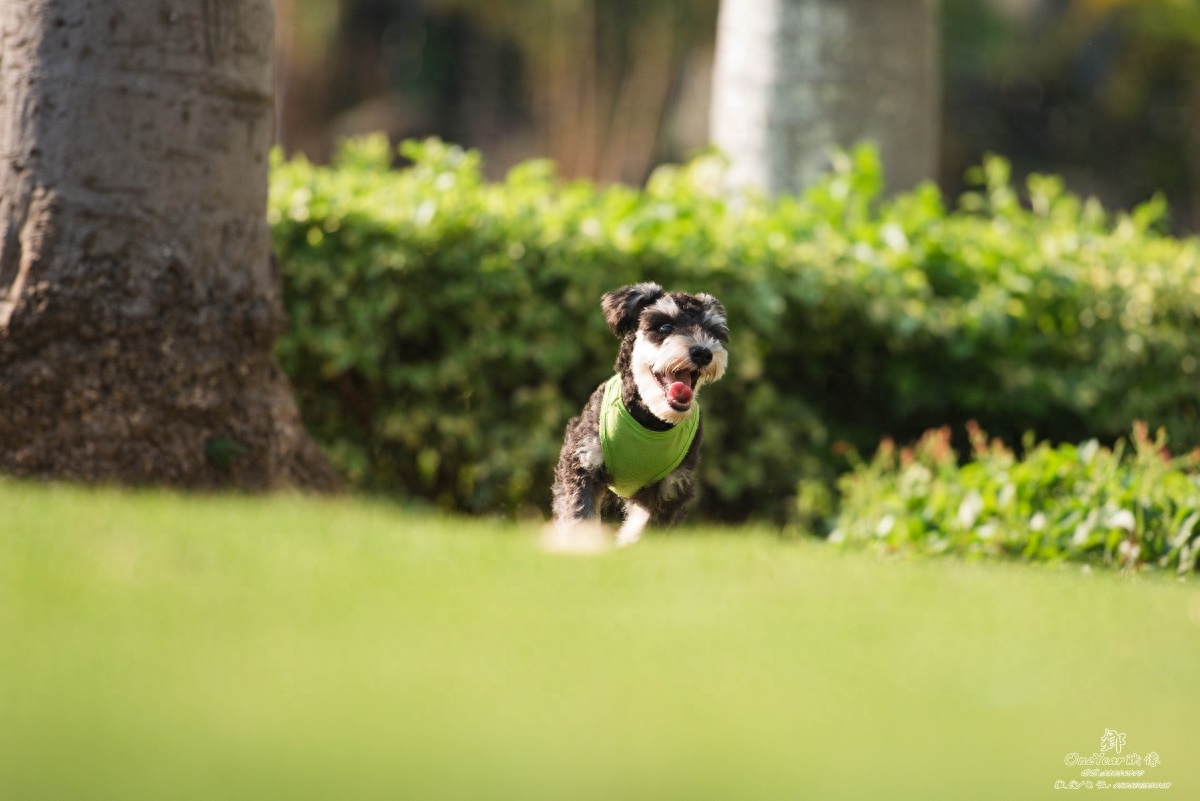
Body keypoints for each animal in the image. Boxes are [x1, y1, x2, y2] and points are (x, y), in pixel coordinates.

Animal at [549, 281, 724, 544]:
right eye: (665, 326)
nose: (703, 353)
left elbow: (644, 528)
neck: (650, 420)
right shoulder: (583, 464)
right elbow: (579, 515)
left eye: (712, 331)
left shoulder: (671, 488)